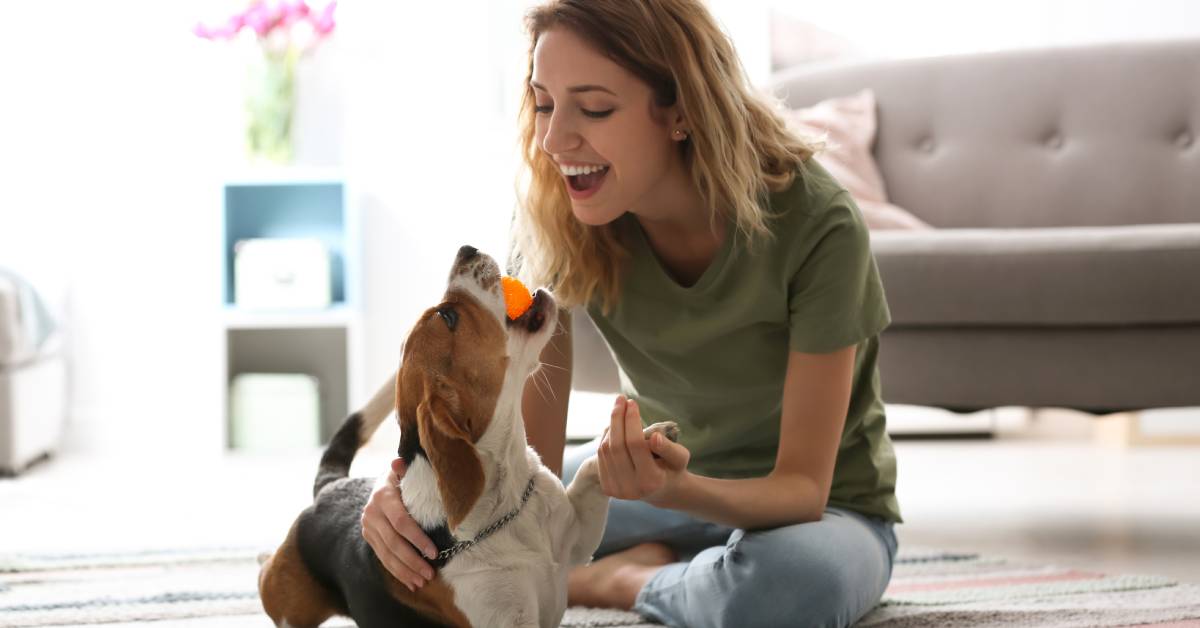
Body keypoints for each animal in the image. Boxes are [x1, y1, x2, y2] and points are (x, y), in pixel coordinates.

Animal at [256, 247, 676, 628]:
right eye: (448, 316)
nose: (466, 250)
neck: (505, 500)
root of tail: (329, 488)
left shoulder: (576, 541)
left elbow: (592, 467)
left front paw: (641, 439)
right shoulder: (508, 620)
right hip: (290, 605)